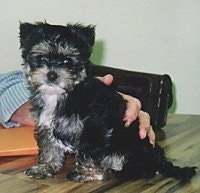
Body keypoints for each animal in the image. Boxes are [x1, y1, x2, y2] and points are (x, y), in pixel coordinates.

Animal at [19, 21, 196, 182]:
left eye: (68, 61)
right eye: (41, 57)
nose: (52, 75)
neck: (65, 93)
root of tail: (158, 158)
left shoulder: (94, 128)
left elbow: (88, 152)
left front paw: (86, 172)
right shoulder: (46, 125)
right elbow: (49, 147)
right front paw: (45, 167)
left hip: (129, 144)